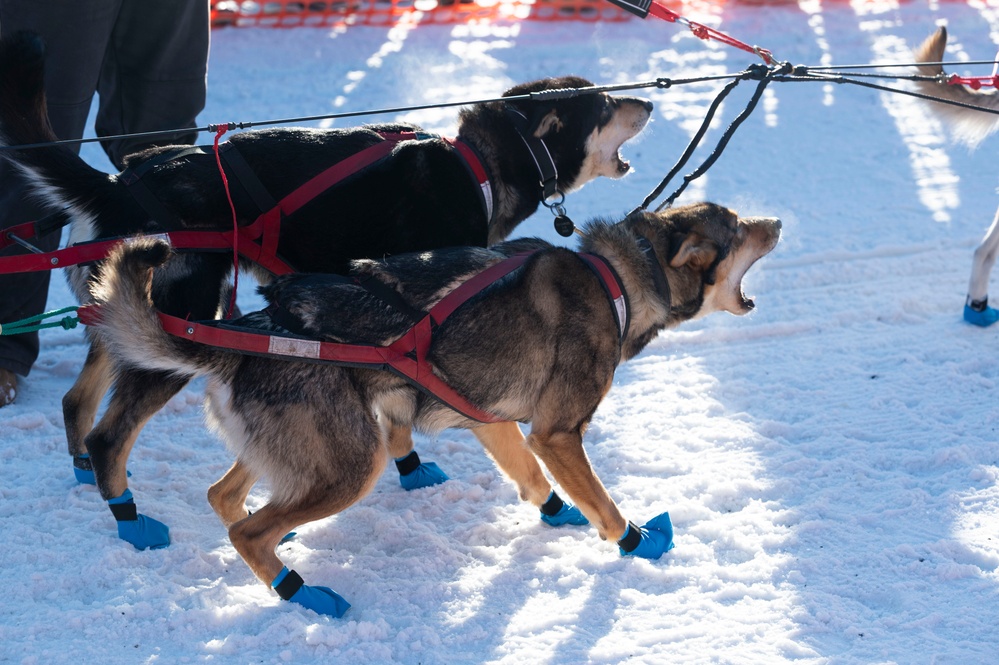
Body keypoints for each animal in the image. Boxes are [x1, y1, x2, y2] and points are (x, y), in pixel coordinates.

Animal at [0, 28, 656, 548]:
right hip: (184, 312)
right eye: (604, 103)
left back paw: (89, 473)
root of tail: (118, 182)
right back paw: (130, 518)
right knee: (111, 433)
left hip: (125, 314)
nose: (648, 99)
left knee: (78, 401)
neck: (479, 167)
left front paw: (410, 463)